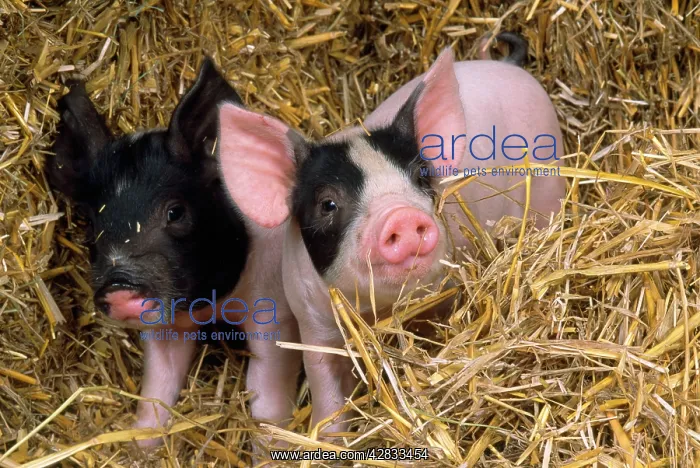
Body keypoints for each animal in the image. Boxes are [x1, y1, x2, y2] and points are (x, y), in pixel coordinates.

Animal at [46, 57, 301, 450]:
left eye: (175, 212)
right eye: (91, 224)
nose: (119, 286)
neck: (213, 304)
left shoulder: (275, 314)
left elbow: (267, 398)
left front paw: (269, 450)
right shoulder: (167, 326)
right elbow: (157, 388)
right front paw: (140, 449)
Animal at [216, 35, 565, 435]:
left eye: (419, 177)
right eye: (327, 204)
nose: (401, 215)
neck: (378, 313)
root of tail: (509, 67)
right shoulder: (314, 322)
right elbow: (327, 391)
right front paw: (328, 436)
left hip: (548, 184)